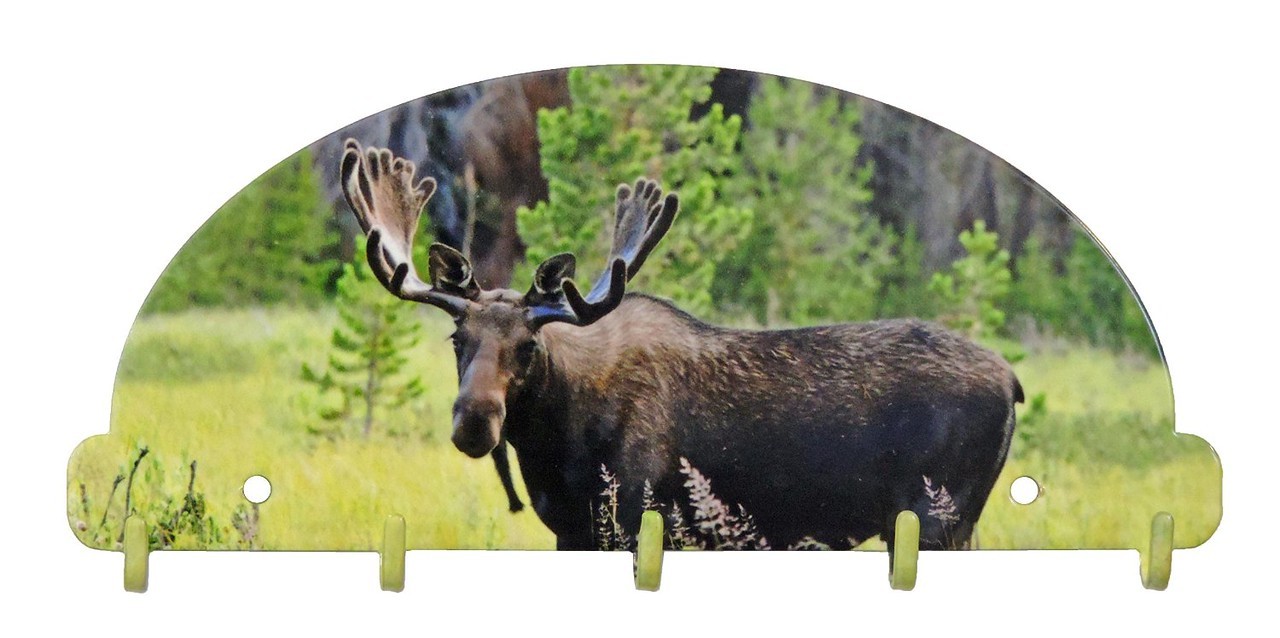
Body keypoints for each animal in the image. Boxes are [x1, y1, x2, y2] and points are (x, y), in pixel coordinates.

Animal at [338, 139, 1023, 552]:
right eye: (459, 337)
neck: (557, 442)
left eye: (530, 345)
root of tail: (1013, 382)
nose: (475, 422)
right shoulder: (574, 531)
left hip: (941, 518)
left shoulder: (641, 521)